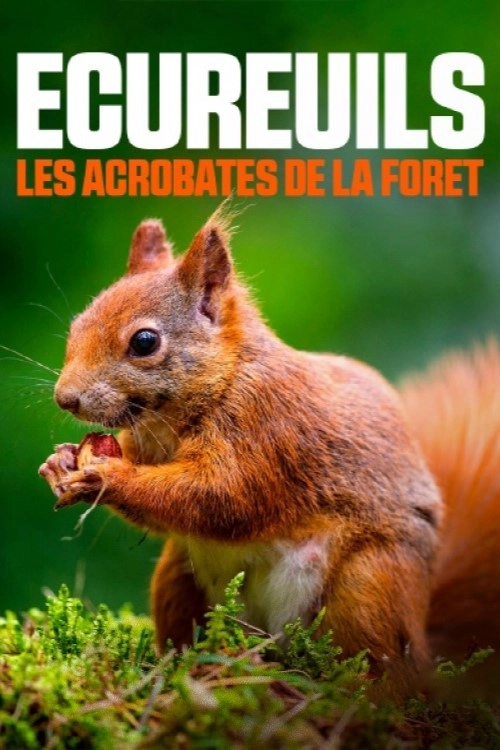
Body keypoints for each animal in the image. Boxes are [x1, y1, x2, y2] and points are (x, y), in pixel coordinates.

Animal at [39, 205, 499, 700]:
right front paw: (60, 462)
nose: (65, 398)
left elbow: (220, 498)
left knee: (386, 666)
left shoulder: (267, 431)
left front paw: (106, 476)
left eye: (144, 342)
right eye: (77, 325)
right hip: (177, 575)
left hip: (369, 583)